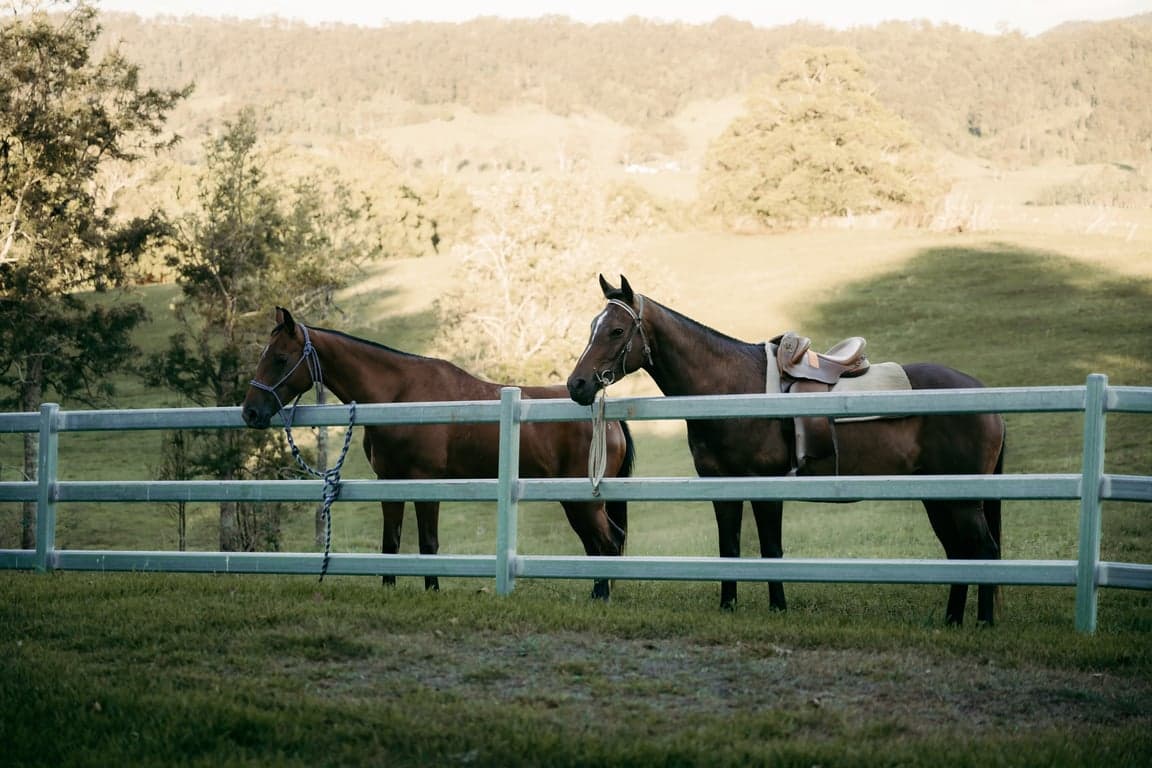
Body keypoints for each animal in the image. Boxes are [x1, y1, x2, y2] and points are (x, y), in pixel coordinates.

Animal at [241, 307, 635, 599]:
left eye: (280, 358)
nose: (250, 412)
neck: (400, 396)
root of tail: (610, 419)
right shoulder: (390, 482)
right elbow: (391, 541)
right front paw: (389, 587)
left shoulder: (425, 481)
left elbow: (428, 542)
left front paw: (432, 589)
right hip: (575, 502)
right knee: (601, 544)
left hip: (582, 501)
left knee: (606, 542)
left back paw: (601, 595)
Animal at [565, 275, 1005, 625]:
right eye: (593, 327)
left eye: (616, 331)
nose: (577, 384)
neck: (732, 390)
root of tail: (982, 391)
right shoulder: (721, 487)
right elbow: (729, 548)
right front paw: (728, 606)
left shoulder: (765, 486)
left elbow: (771, 549)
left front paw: (777, 607)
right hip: (941, 496)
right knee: (961, 553)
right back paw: (951, 621)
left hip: (960, 499)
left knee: (983, 550)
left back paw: (982, 623)